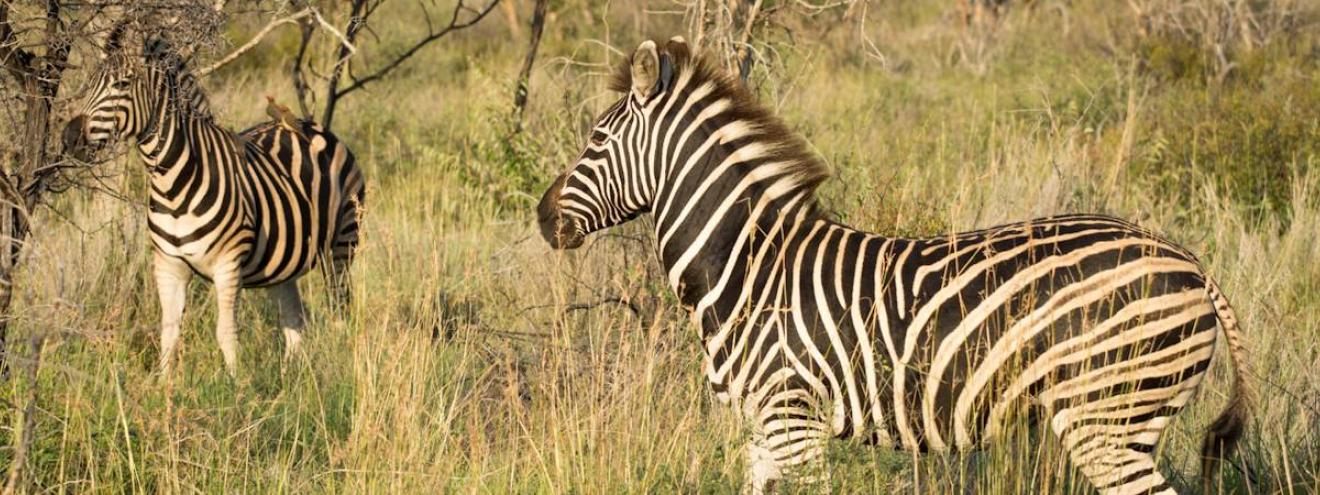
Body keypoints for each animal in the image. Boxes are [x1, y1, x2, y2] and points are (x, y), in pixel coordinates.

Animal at [63, 31, 365, 376]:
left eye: (123, 84)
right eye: (90, 82)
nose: (69, 138)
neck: (172, 184)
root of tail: (309, 123)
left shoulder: (228, 263)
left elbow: (226, 332)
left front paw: (236, 384)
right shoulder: (168, 263)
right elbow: (169, 331)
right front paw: (163, 385)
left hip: (342, 244)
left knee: (340, 308)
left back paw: (340, 363)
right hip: (283, 262)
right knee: (294, 320)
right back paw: (290, 377)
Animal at [537, 38, 1252, 494]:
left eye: (595, 138)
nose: (543, 219)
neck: (748, 267)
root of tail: (1188, 259)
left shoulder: (795, 423)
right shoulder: (762, 434)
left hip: (1108, 419)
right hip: (1128, 420)